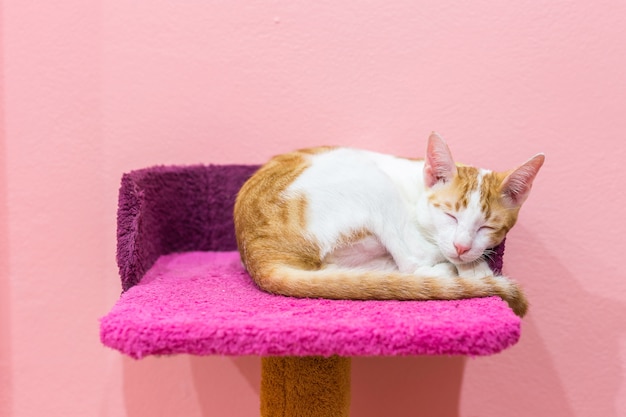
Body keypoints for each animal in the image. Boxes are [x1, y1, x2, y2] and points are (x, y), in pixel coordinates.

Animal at [234, 132, 540, 316]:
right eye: (449, 215)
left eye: (487, 227)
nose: (462, 247)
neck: (417, 189)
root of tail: (258, 254)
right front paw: (473, 266)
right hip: (372, 183)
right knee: (413, 262)